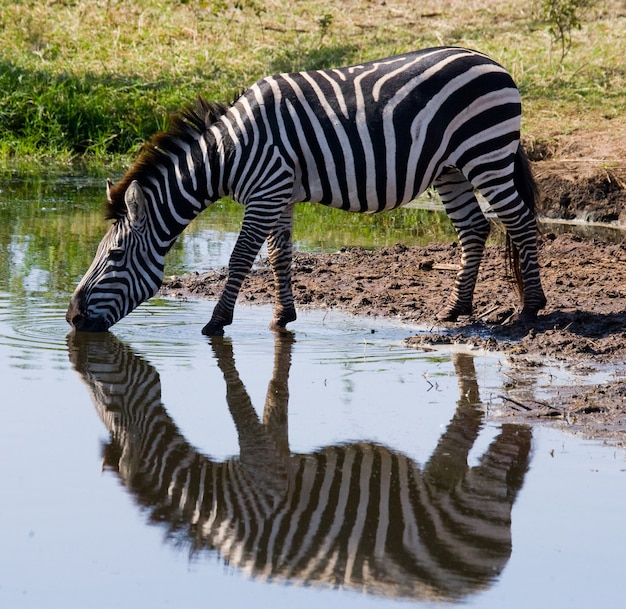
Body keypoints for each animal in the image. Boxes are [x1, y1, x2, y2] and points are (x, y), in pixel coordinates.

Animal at [68, 45, 544, 334]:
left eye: (114, 255)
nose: (71, 317)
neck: (229, 153)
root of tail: (491, 60)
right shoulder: (279, 193)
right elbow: (280, 254)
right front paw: (283, 317)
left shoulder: (264, 193)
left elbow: (241, 257)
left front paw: (217, 322)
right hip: (450, 169)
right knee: (474, 228)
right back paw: (455, 309)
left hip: (486, 154)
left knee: (520, 222)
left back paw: (531, 308)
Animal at [69, 330, 532, 600]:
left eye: (110, 403)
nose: (75, 325)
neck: (216, 505)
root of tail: (487, 576)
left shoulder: (262, 476)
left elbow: (240, 403)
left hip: (479, 490)